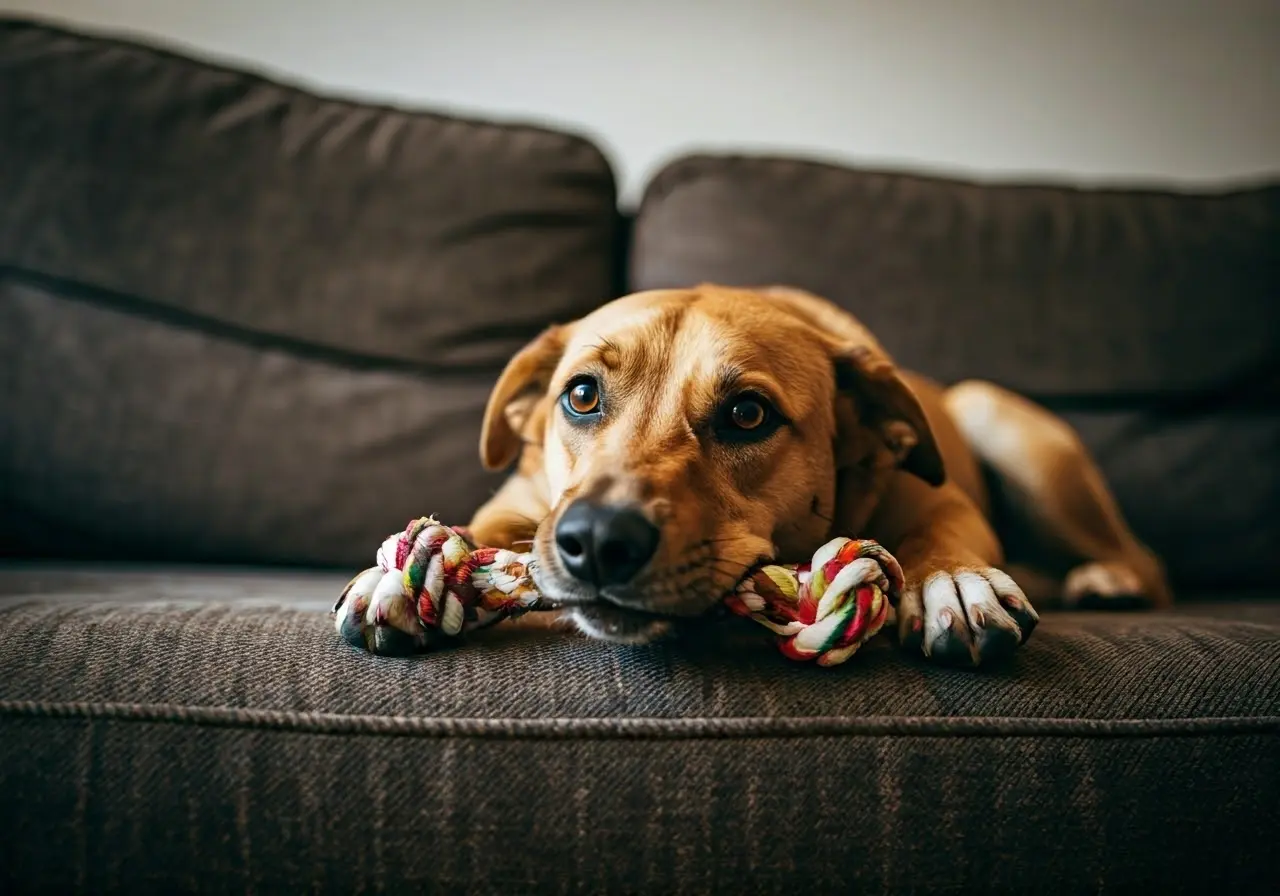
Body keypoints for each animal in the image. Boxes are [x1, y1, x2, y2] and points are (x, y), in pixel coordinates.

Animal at [463, 285, 1172, 665]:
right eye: (582, 396)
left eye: (747, 414)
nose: (597, 542)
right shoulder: (516, 501)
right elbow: (490, 535)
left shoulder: (945, 505)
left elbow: (937, 538)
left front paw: (952, 582)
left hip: (996, 417)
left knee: (1146, 561)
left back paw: (1107, 583)